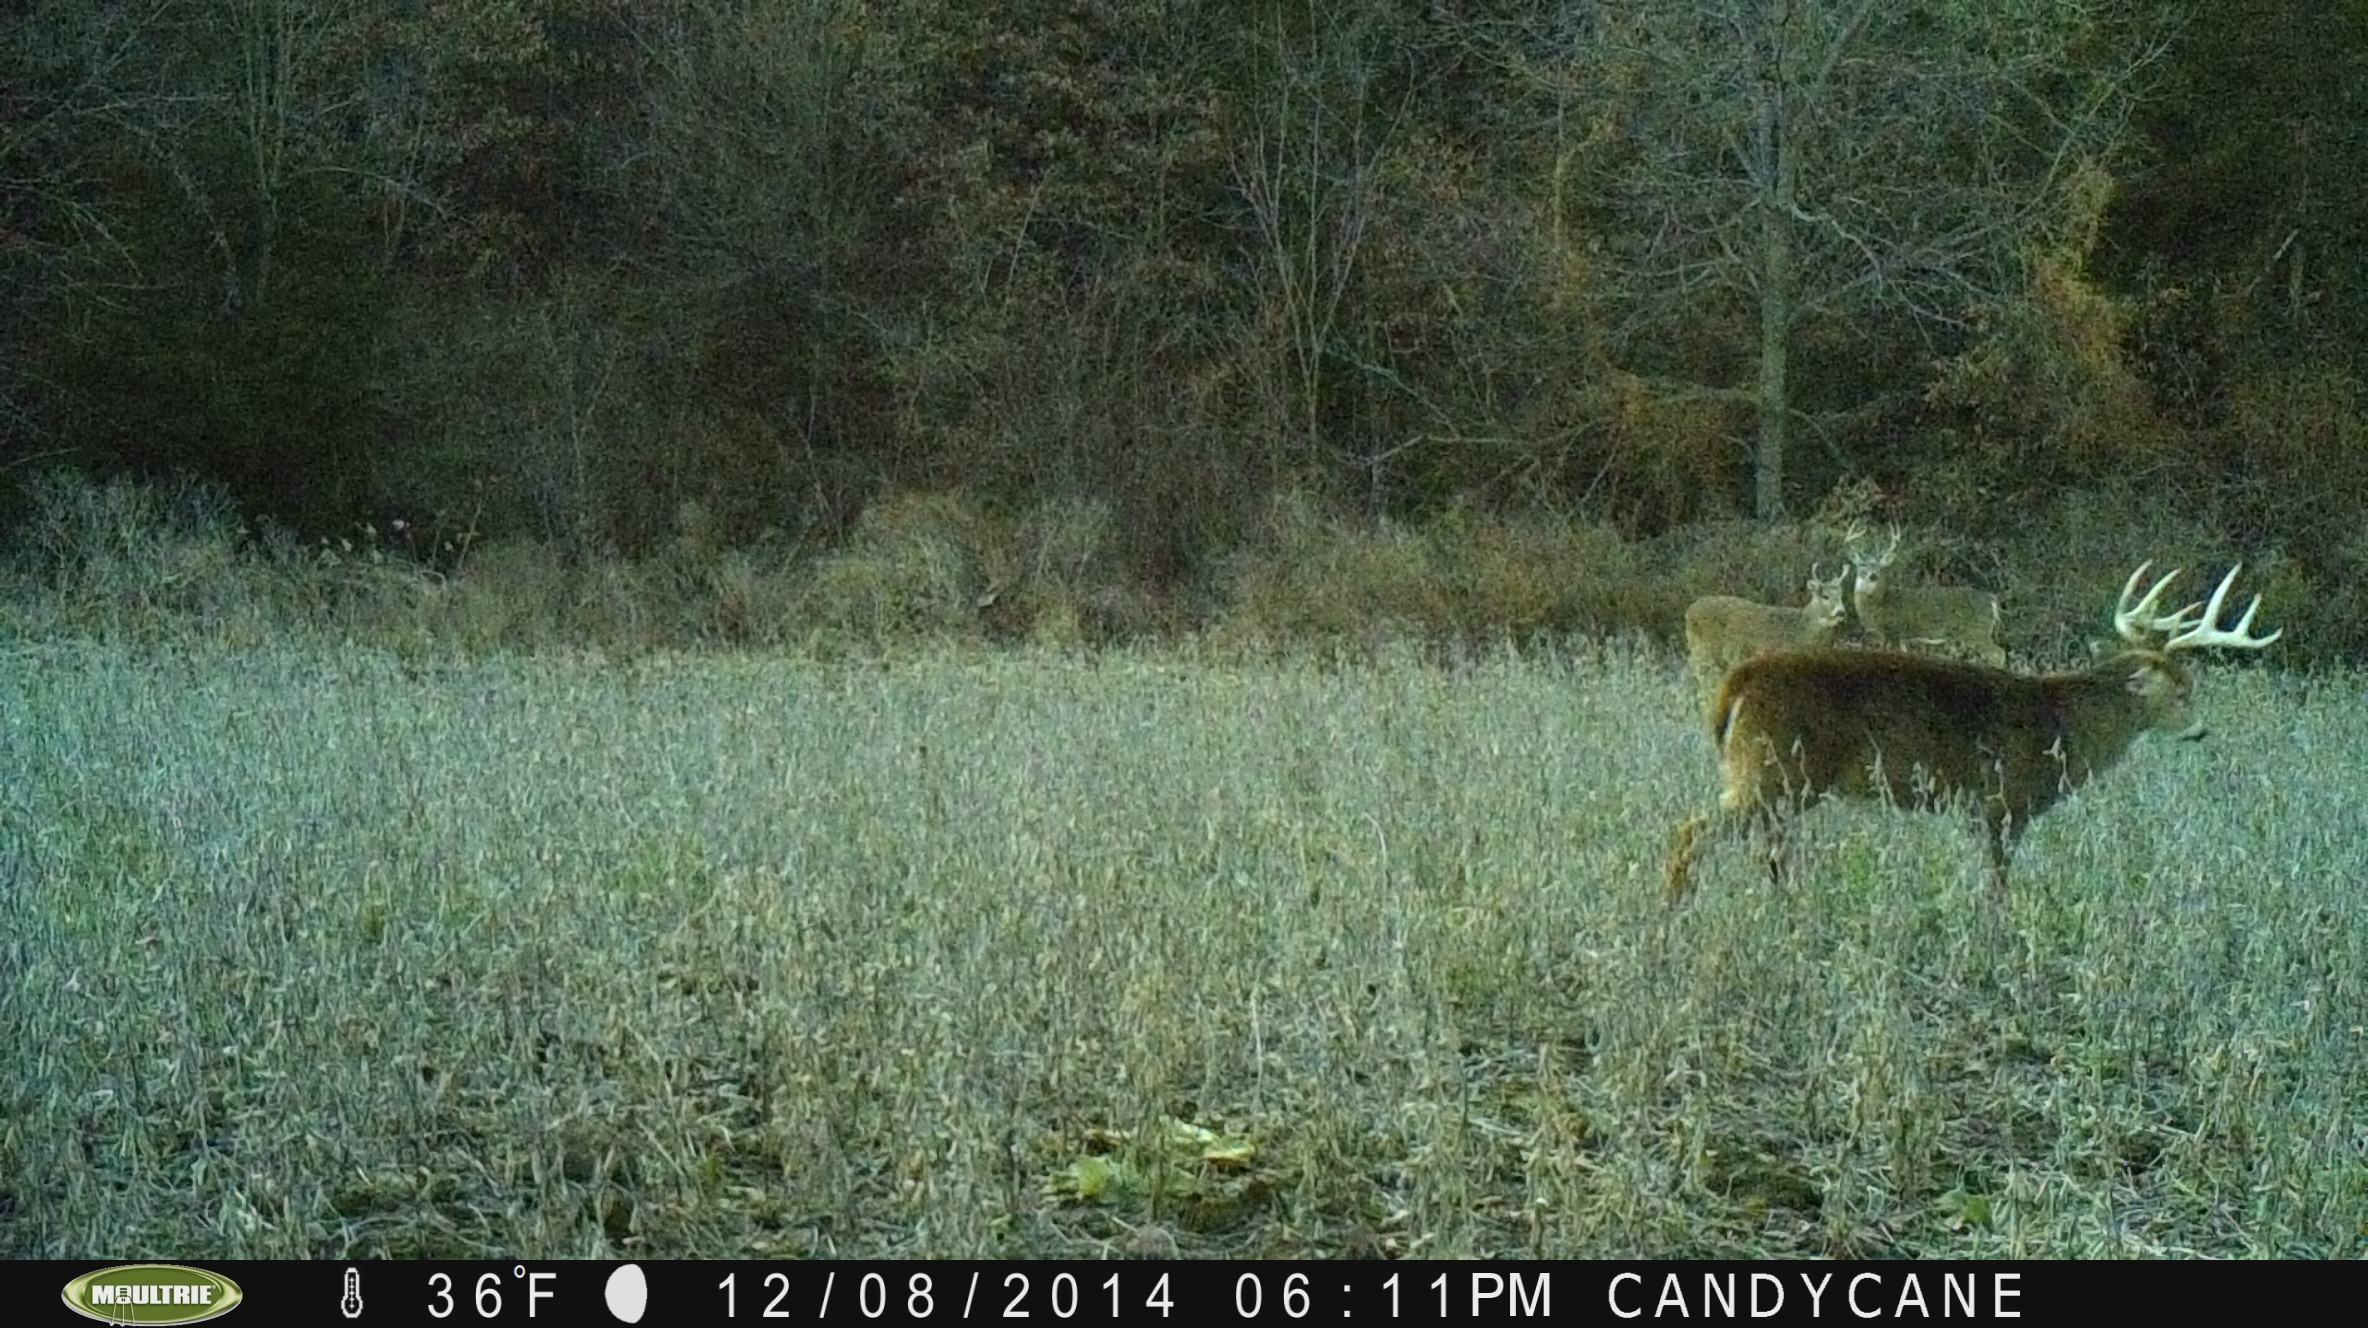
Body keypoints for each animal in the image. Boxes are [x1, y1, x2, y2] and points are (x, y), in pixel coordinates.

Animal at [1676, 563, 1856, 695]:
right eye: (1825, 596)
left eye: (1841, 595)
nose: (1841, 612)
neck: (1801, 629)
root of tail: (1689, 610)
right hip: (1702, 648)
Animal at [1837, 523, 2008, 667]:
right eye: (1861, 566)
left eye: (1878, 568)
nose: (1872, 576)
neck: (1881, 603)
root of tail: (1991, 600)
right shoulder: (1902, 637)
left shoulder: (1894, 631)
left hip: (1976, 631)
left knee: (1999, 654)